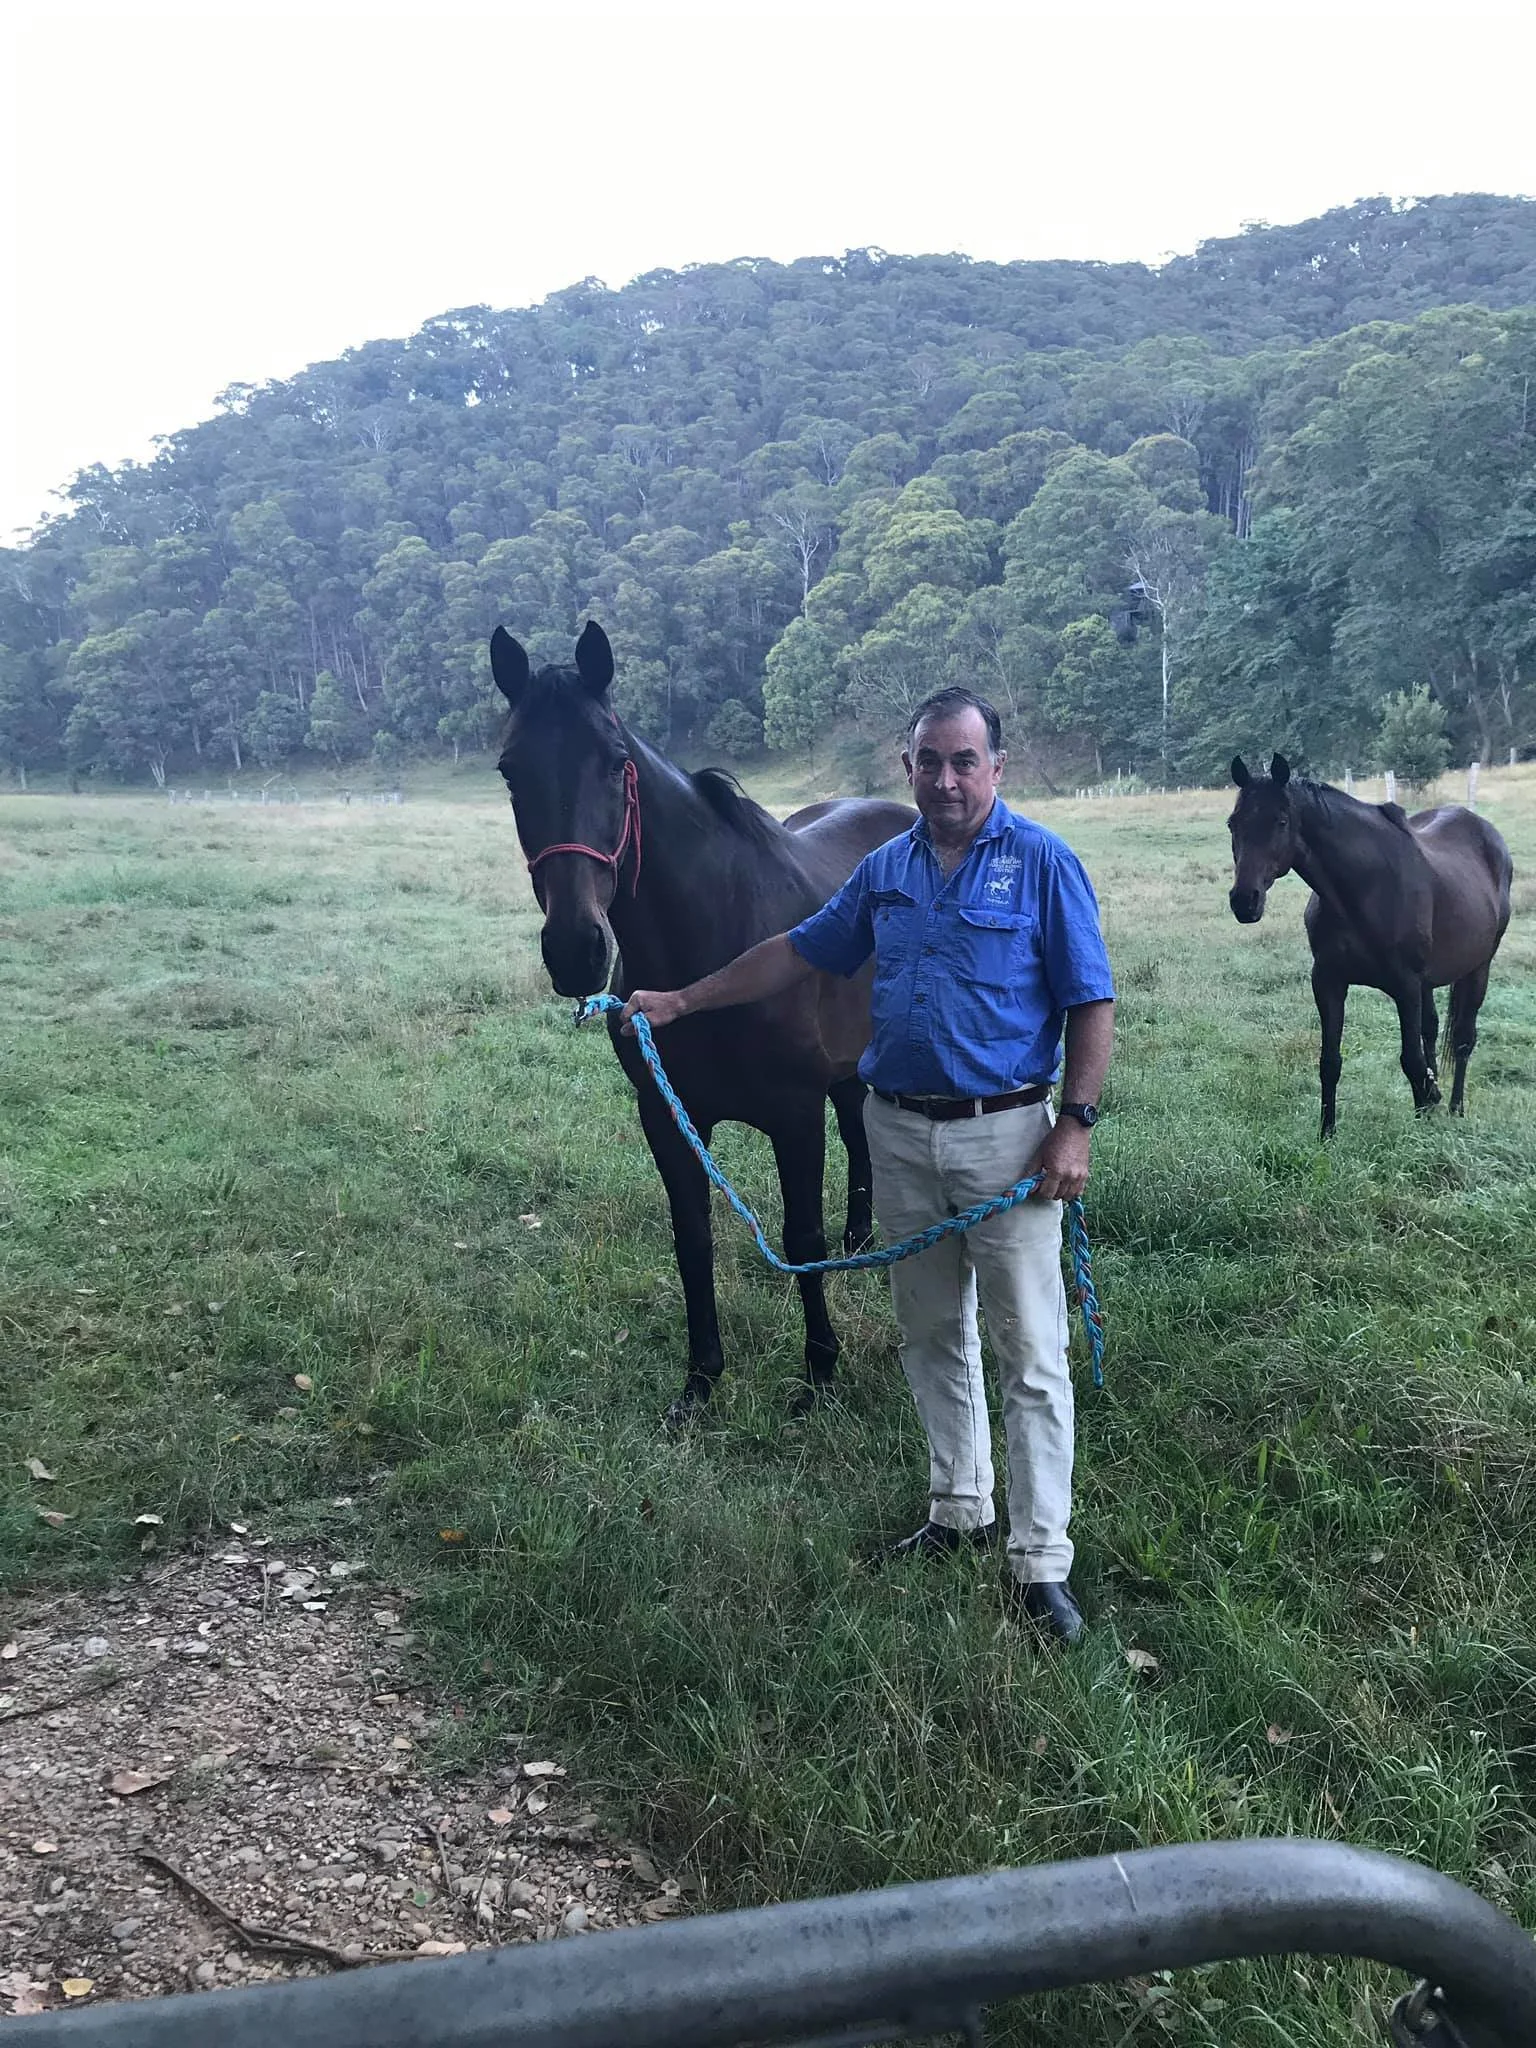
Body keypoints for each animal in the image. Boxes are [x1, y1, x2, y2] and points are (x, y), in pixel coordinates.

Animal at [491, 620, 916, 1423]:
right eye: (508, 770)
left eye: (615, 762)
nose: (575, 949)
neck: (715, 948)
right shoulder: (666, 1114)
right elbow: (692, 1239)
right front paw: (701, 1381)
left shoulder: (792, 1115)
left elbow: (798, 1235)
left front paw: (819, 1371)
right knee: (857, 1130)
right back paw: (858, 1239)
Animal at [1227, 753, 1513, 1138]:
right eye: (1233, 824)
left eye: (1281, 821)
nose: (1245, 901)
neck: (1364, 890)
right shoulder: (1329, 981)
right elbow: (1330, 1060)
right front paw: (1326, 1135)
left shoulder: (1405, 986)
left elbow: (1411, 1060)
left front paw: (1421, 1132)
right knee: (1432, 1029)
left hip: (1479, 967)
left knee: (1464, 1039)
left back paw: (1455, 1108)